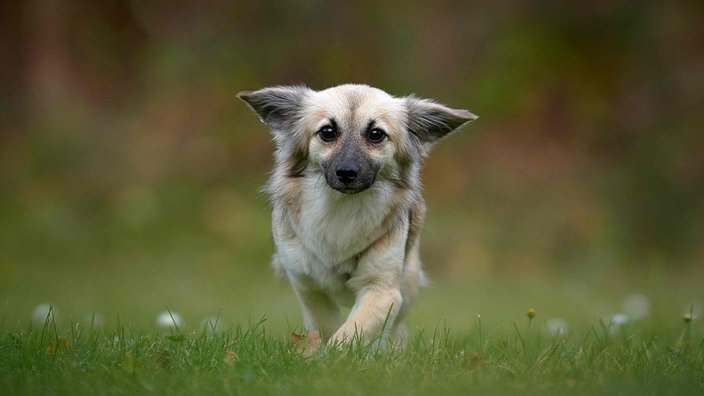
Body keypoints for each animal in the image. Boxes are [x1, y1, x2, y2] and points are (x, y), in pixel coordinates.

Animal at [238, 84, 478, 346]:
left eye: (376, 134)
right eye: (327, 132)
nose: (346, 172)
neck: (343, 208)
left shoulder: (383, 292)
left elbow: (350, 333)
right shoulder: (307, 286)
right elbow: (326, 326)